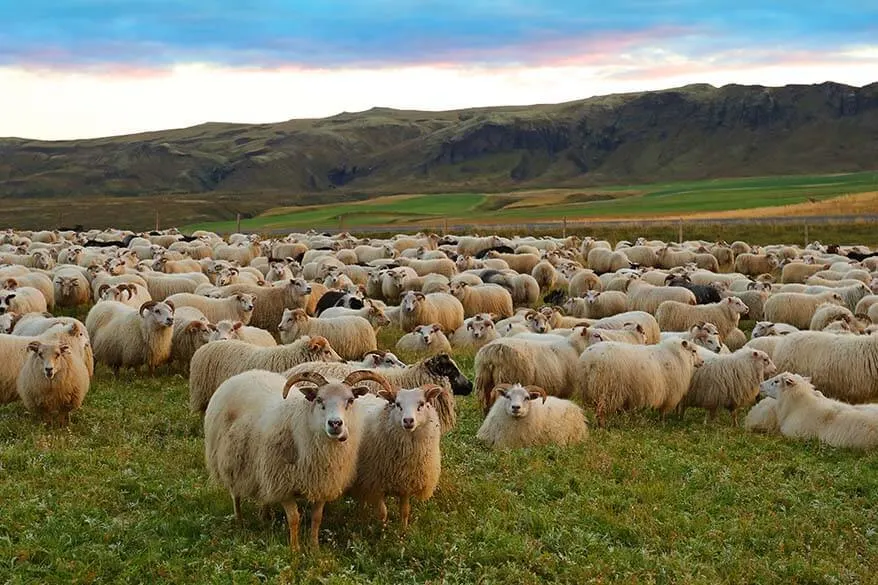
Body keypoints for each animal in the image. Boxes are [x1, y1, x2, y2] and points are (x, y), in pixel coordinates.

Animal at [206, 368, 392, 548]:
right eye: (319, 400)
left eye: (350, 400)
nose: (335, 424)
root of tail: (244, 374)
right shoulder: (283, 485)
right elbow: (294, 519)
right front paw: (295, 550)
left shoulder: (322, 483)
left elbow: (317, 519)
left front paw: (314, 548)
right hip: (229, 460)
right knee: (235, 494)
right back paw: (239, 521)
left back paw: (265, 516)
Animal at [348, 384, 444, 528]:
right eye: (398, 404)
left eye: (421, 404)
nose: (408, 420)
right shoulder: (375, 483)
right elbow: (383, 513)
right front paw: (382, 529)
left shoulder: (406, 484)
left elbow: (404, 512)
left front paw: (403, 530)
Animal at [576, 338, 708, 424]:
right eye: (694, 351)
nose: (702, 362)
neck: (678, 356)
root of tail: (588, 361)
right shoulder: (670, 394)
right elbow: (663, 412)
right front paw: (662, 423)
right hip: (607, 390)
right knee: (601, 411)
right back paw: (602, 426)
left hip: (591, 389)